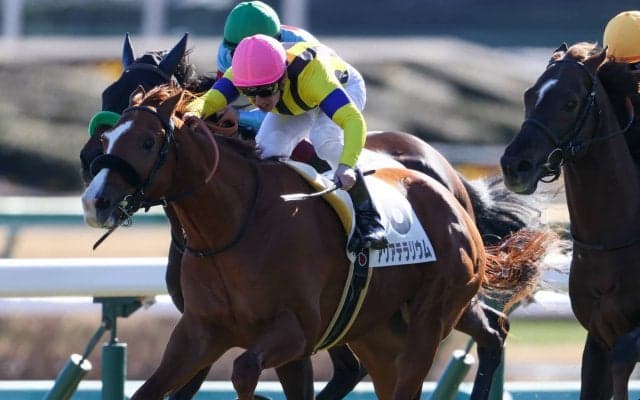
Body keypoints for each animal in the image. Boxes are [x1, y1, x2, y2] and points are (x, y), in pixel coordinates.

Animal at [79, 34, 552, 400]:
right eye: (107, 103)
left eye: (146, 142)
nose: (93, 195)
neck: (232, 226)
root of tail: (453, 194)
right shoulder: (198, 334)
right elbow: (156, 389)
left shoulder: (297, 334)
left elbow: (245, 372)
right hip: (378, 330)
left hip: (430, 317)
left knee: (474, 339)